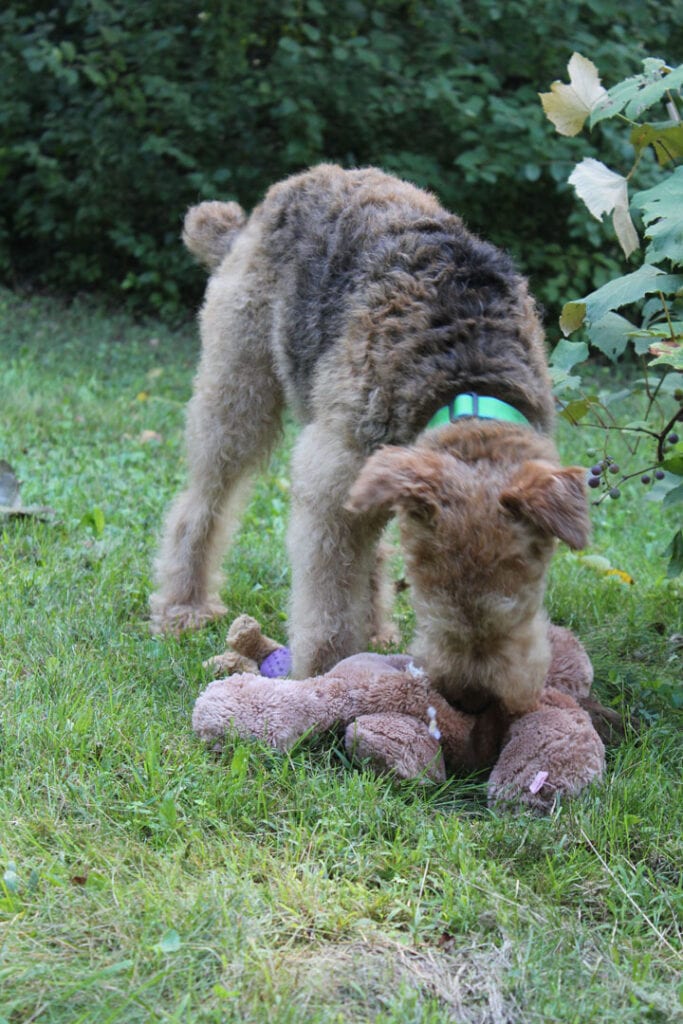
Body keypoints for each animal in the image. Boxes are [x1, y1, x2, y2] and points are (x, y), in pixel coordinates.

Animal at [152, 165, 589, 712]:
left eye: (526, 580)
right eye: (426, 584)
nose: (473, 701)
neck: (465, 377)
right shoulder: (330, 485)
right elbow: (328, 606)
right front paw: (323, 679)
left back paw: (378, 629)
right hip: (238, 391)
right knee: (201, 506)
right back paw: (184, 608)